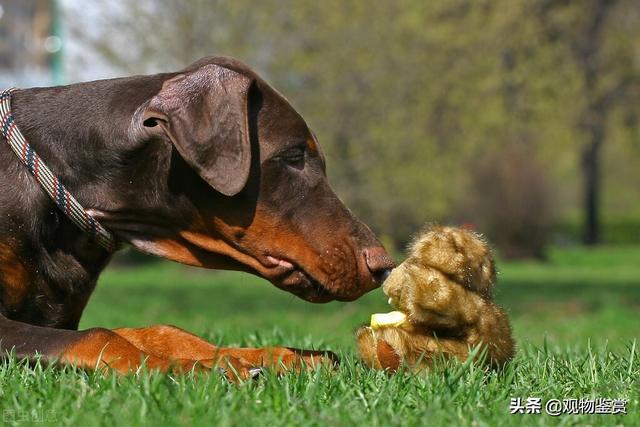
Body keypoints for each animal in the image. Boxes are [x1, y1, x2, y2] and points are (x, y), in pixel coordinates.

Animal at [0, 56, 396, 382]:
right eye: (294, 155)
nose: (384, 265)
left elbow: (159, 330)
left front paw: (270, 356)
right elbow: (98, 337)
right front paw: (195, 368)